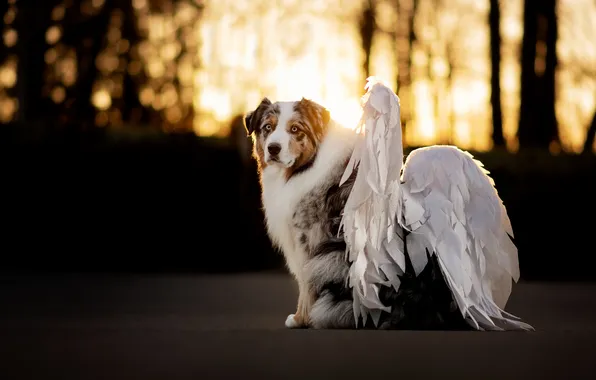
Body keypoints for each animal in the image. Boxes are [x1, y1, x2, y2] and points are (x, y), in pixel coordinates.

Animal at [243, 96, 470, 328]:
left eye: (295, 129)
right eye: (267, 127)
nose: (273, 148)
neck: (305, 164)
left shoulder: (307, 238)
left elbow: (306, 283)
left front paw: (299, 319)